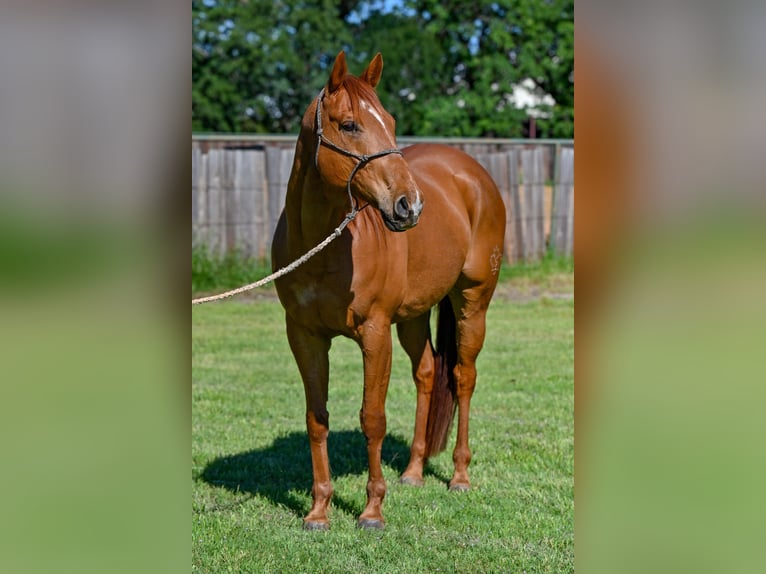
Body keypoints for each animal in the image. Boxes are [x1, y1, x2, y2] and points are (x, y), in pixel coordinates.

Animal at [271, 51, 506, 530]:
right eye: (349, 125)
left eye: (392, 122)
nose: (409, 206)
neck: (324, 246)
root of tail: (471, 174)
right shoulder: (304, 336)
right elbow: (316, 419)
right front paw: (318, 510)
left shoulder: (374, 334)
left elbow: (373, 418)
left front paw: (372, 511)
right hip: (413, 315)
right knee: (428, 373)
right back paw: (414, 472)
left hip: (473, 303)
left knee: (463, 377)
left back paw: (459, 476)